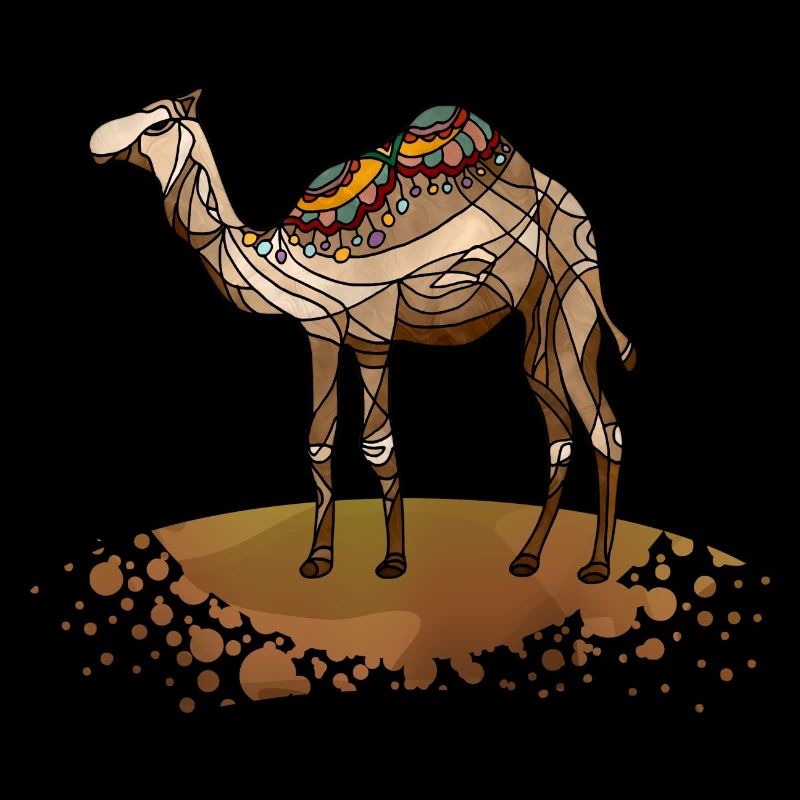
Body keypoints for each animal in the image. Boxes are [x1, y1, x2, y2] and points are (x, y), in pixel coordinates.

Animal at [90, 90, 635, 584]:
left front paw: (394, 561)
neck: (282, 258)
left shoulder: (374, 323)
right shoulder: (321, 333)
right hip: (540, 316)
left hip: (575, 287)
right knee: (559, 426)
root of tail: (556, 187)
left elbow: (378, 442)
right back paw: (527, 558)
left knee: (602, 427)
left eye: (159, 123)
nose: (98, 142)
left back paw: (596, 566)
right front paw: (318, 559)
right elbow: (318, 439)